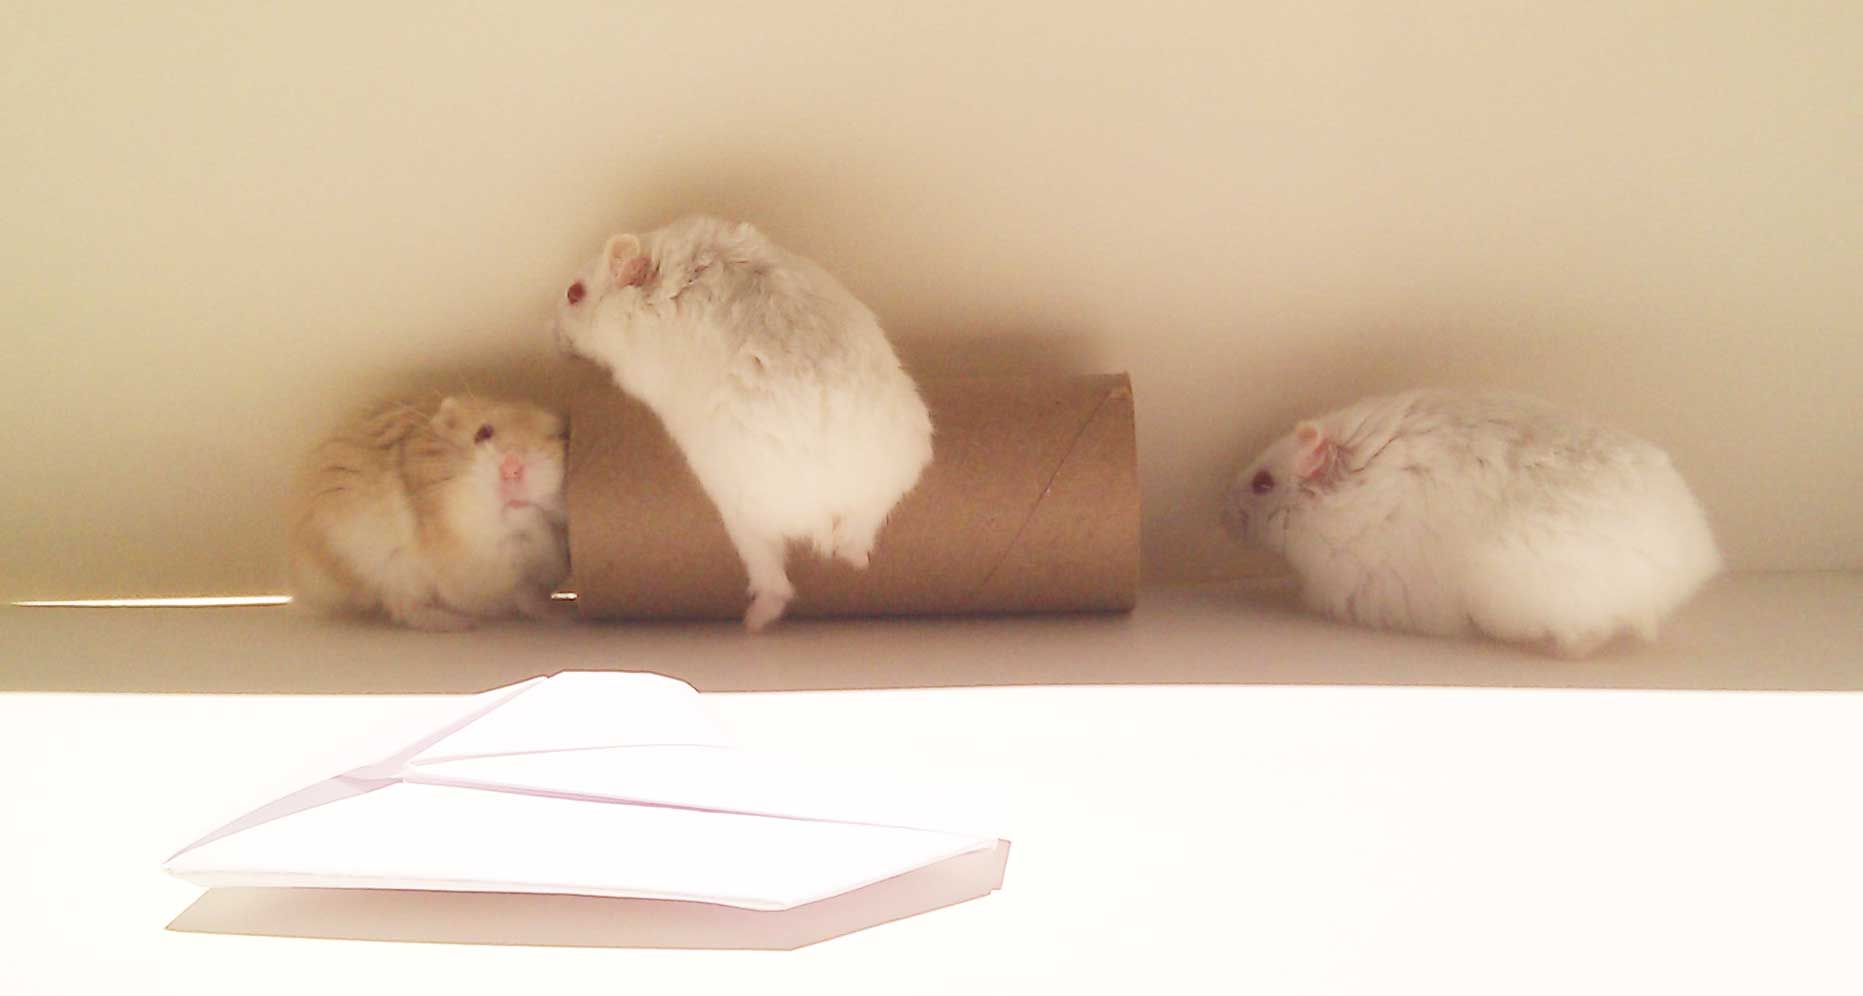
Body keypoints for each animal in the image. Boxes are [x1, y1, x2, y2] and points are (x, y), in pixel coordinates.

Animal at [289, 395, 571, 630]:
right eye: (483, 433)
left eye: (560, 437)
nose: (512, 468)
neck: (516, 536)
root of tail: (299, 588)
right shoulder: (477, 572)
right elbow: (521, 593)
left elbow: (530, 591)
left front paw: (559, 612)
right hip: (375, 563)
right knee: (404, 608)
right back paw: (460, 623)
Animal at [552, 214, 933, 631]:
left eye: (574, 293)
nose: (554, 333)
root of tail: (826, 509)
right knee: (850, 545)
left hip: (739, 511)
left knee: (774, 581)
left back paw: (752, 623)